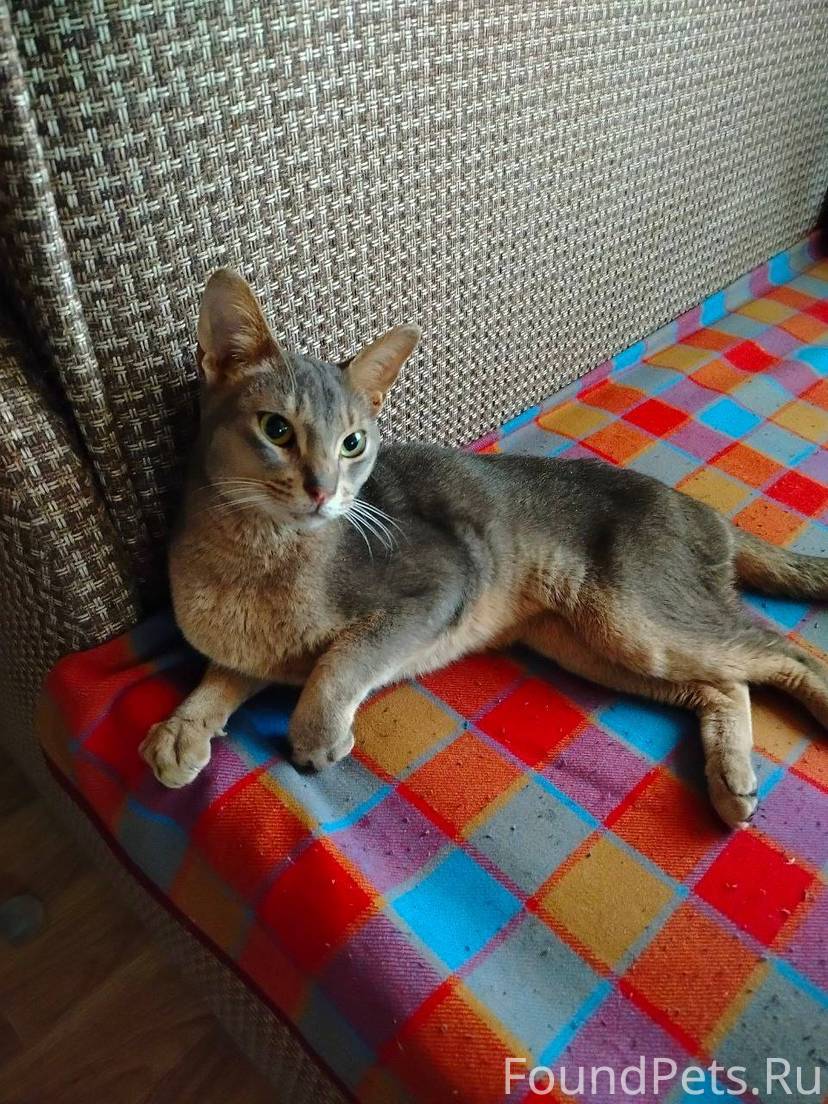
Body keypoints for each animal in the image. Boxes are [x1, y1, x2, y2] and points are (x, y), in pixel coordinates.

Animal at [140, 269, 828, 828]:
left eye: (353, 444)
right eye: (276, 429)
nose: (323, 490)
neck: (256, 555)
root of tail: (702, 510)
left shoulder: (440, 584)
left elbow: (344, 659)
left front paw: (314, 731)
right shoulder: (253, 648)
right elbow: (223, 673)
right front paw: (183, 727)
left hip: (636, 619)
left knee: (787, 653)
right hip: (591, 643)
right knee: (726, 685)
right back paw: (731, 781)